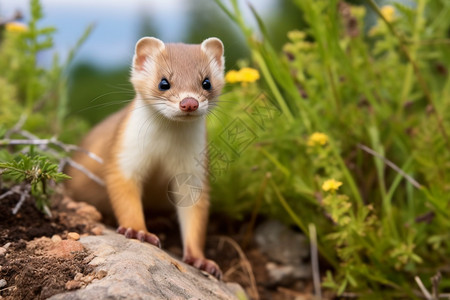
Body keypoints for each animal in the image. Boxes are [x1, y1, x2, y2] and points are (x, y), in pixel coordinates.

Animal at [65, 37, 225, 278]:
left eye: (206, 82)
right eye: (164, 82)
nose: (189, 102)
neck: (164, 149)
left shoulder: (194, 169)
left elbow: (195, 214)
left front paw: (202, 260)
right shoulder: (124, 154)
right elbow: (124, 192)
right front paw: (138, 231)